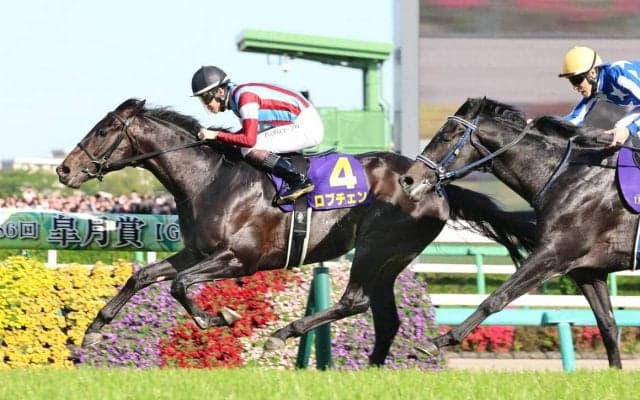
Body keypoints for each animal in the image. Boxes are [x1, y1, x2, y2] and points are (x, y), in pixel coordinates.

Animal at [56, 98, 536, 366]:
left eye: (103, 130)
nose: (64, 170)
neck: (211, 179)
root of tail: (436, 183)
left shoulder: (239, 259)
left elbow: (177, 286)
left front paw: (219, 317)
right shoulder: (197, 253)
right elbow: (144, 276)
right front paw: (94, 329)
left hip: (376, 247)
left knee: (354, 302)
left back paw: (281, 335)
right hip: (389, 259)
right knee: (385, 318)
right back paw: (371, 370)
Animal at [399, 97, 636, 368]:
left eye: (448, 135)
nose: (407, 179)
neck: (568, 174)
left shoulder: (553, 254)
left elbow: (496, 298)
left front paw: (436, 341)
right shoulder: (586, 270)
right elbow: (607, 325)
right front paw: (615, 370)